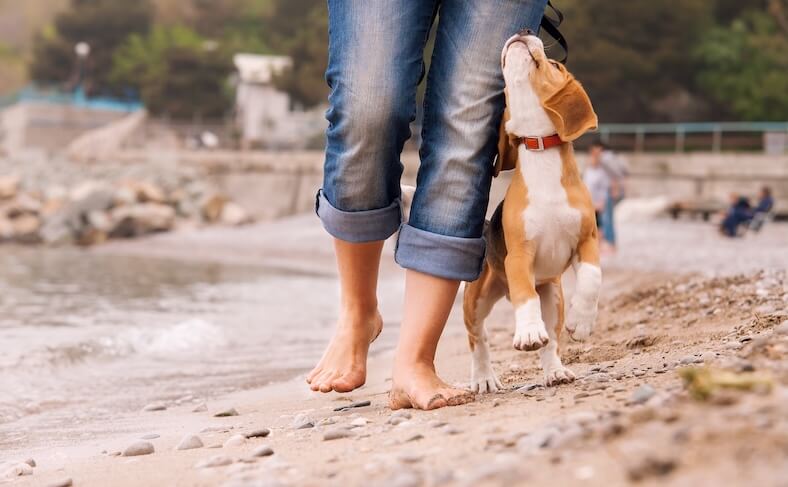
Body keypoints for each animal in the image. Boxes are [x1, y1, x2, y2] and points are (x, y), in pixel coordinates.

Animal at [464, 31, 600, 392]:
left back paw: (555, 371)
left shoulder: (587, 240)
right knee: (477, 338)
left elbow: (592, 279)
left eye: (554, 64)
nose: (524, 29)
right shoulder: (519, 255)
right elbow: (525, 297)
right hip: (476, 300)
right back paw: (483, 378)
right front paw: (527, 332)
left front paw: (583, 323)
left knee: (552, 341)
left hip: (553, 295)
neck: (541, 150)